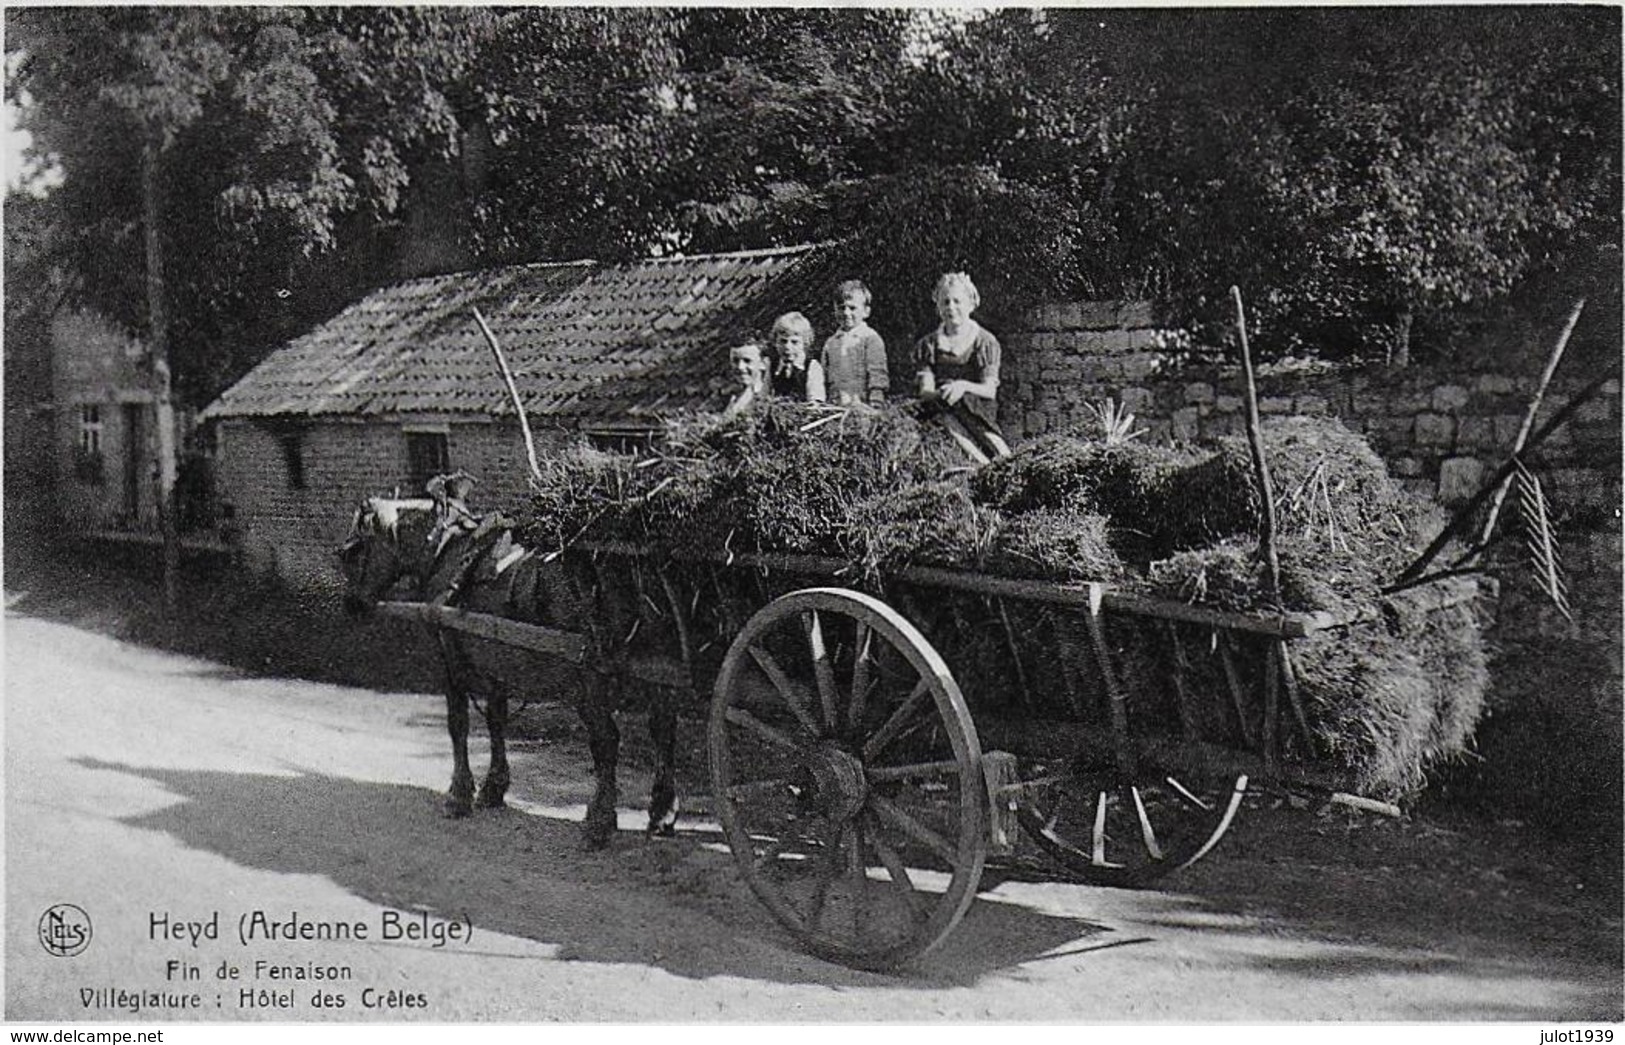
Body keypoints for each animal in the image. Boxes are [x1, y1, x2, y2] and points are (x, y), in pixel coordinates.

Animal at [338, 477, 679, 851]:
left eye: (351, 551)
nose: (351, 604)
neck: (447, 552)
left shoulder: (450, 660)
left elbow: (458, 724)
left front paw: (459, 795)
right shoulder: (496, 665)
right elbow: (496, 720)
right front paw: (493, 787)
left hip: (591, 676)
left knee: (606, 741)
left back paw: (599, 822)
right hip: (657, 670)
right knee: (663, 730)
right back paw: (662, 811)